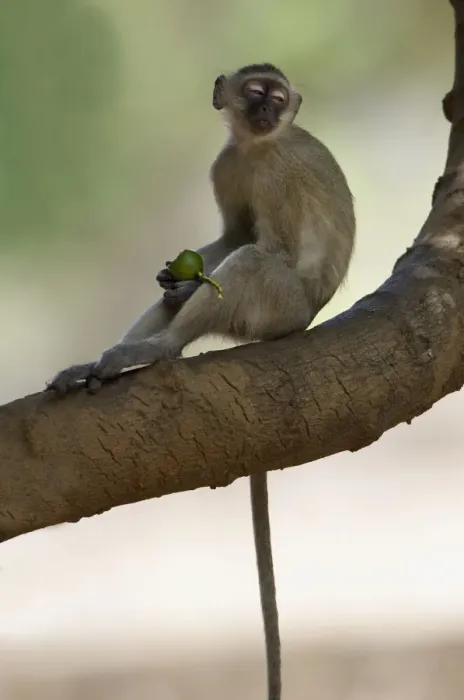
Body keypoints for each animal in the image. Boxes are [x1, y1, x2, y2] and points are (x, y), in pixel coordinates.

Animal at [47, 63, 356, 700]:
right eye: (256, 94)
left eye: (277, 99)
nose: (264, 112)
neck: (256, 147)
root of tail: (303, 321)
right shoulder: (226, 163)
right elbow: (229, 237)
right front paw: (175, 276)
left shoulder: (276, 172)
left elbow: (266, 246)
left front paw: (187, 287)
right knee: (219, 269)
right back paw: (112, 355)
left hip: (277, 306)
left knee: (253, 265)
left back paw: (156, 349)